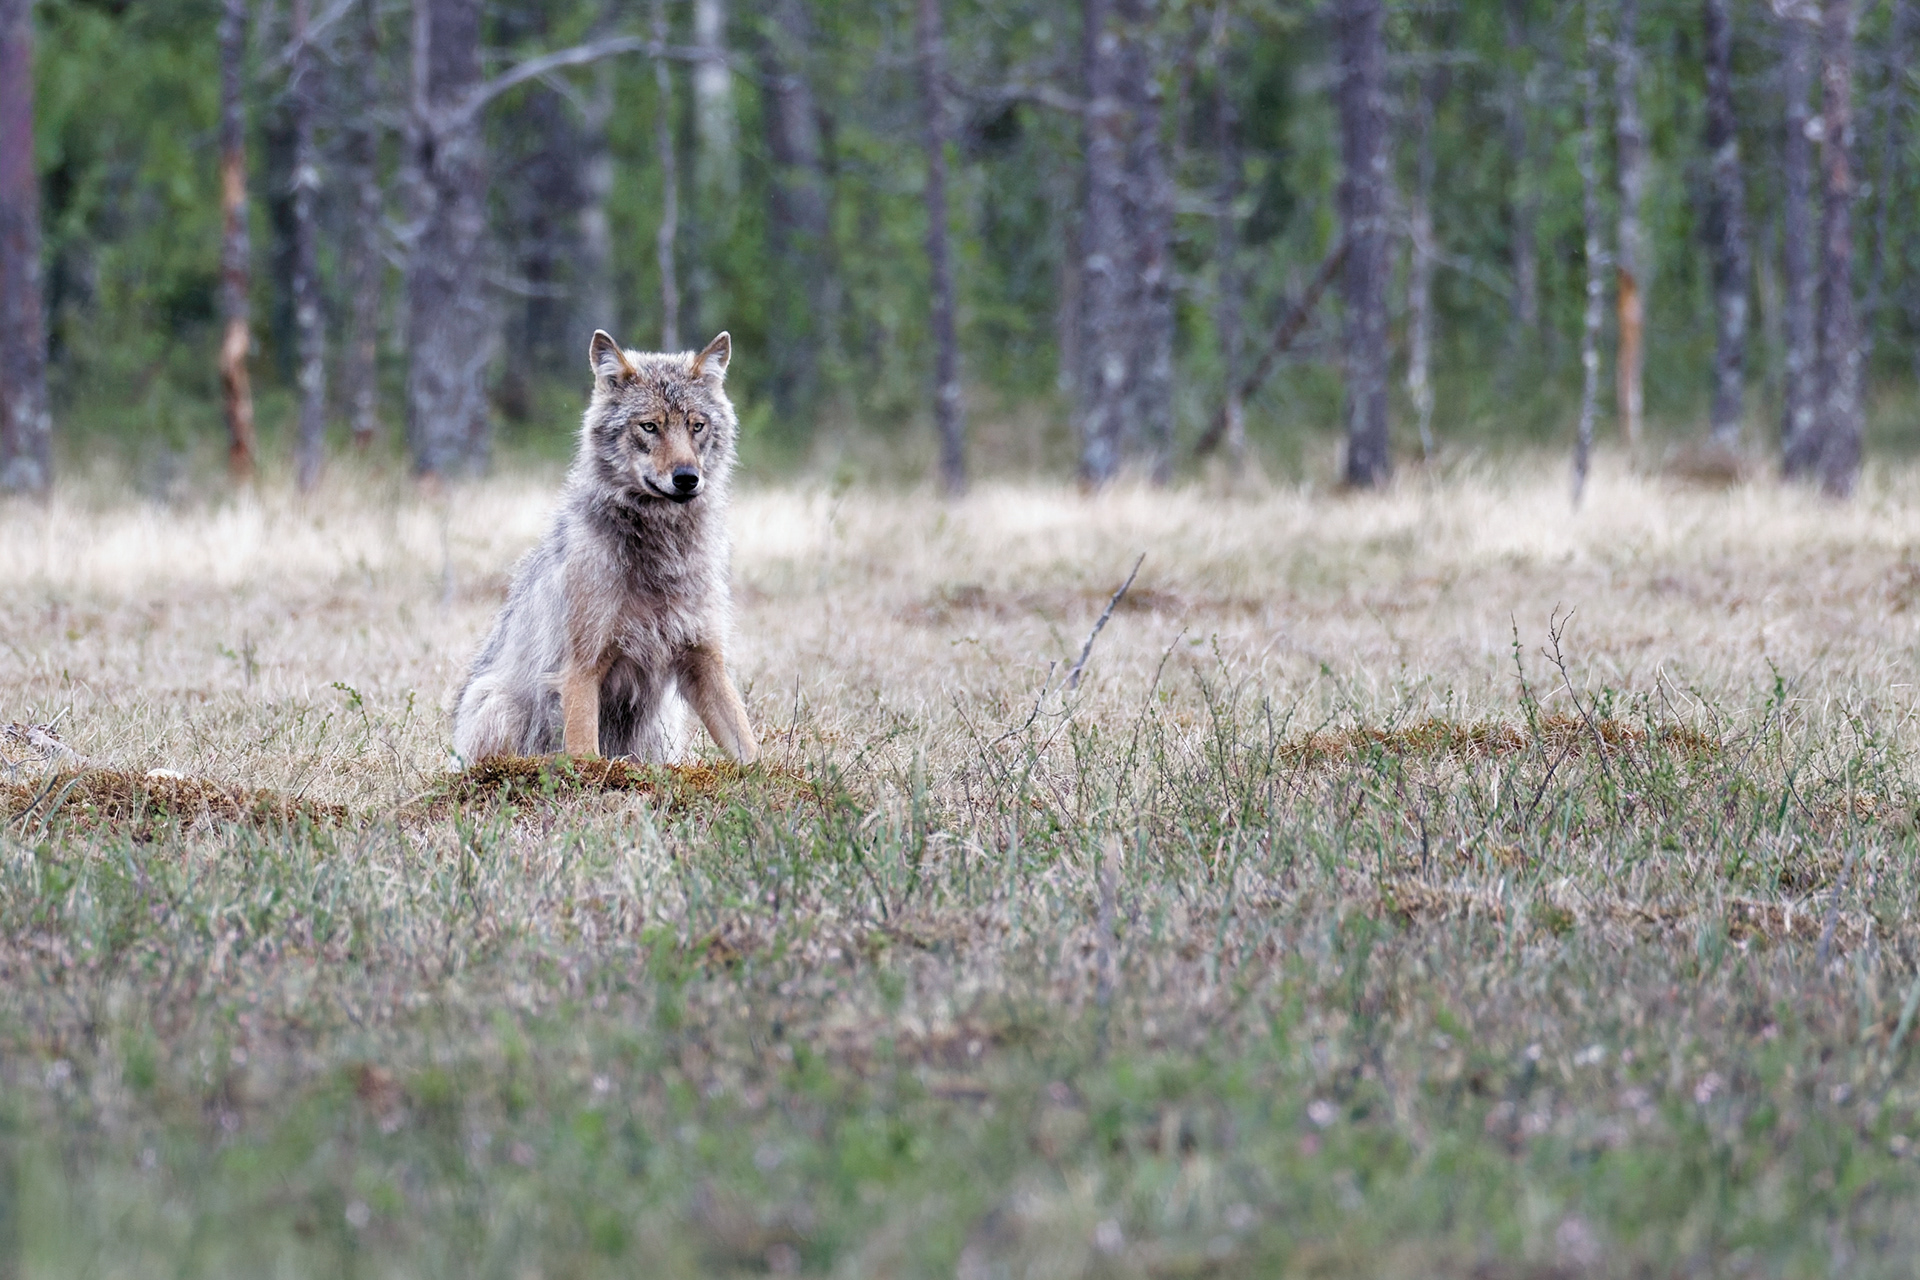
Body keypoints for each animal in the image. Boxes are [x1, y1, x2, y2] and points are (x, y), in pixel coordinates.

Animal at [451, 329, 758, 766]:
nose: (686, 478)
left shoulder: (705, 660)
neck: (661, 551)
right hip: (498, 702)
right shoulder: (581, 669)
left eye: (696, 426)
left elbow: (750, 748)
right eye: (649, 426)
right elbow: (586, 757)